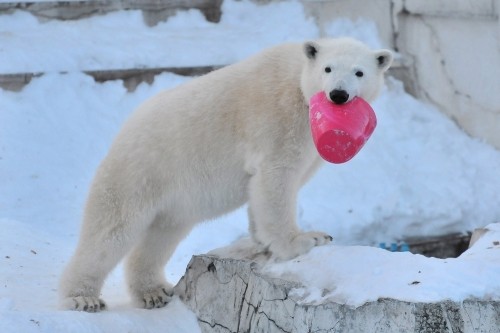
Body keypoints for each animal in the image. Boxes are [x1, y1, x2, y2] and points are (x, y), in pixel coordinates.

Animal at [59, 37, 394, 310]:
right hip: (139, 173)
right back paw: (82, 297)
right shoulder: (278, 118)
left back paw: (152, 292)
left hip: (171, 198)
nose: (338, 94)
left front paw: (263, 243)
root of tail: (123, 132)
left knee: (160, 237)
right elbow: (275, 178)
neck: (298, 83)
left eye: (359, 72)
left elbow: (271, 187)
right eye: (327, 68)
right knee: (111, 231)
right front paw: (306, 240)